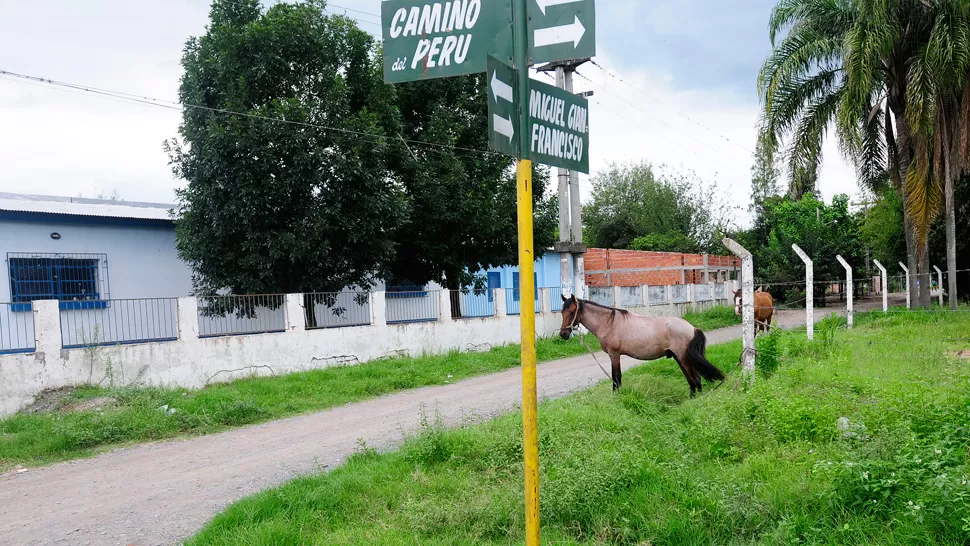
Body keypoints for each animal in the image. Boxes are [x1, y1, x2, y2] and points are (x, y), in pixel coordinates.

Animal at [560, 294, 720, 396]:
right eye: (562, 312)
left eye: (572, 311)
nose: (563, 334)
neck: (608, 323)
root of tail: (692, 328)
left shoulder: (614, 355)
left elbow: (616, 379)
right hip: (679, 358)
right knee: (692, 381)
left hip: (683, 358)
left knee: (695, 380)